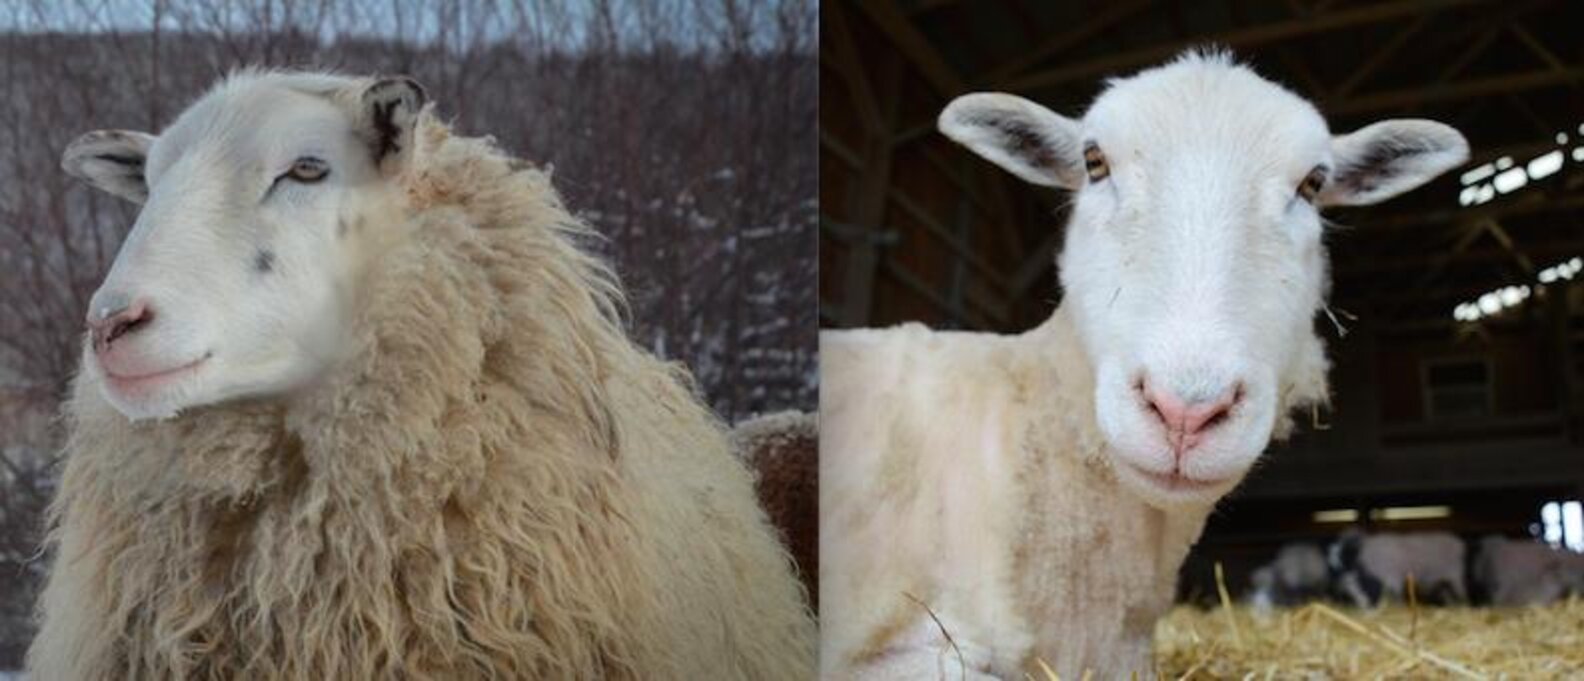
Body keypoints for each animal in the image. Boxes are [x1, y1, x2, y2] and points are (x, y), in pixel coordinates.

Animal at [1327, 529, 1467, 607]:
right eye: (1336, 571)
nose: (1363, 605)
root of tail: (1458, 543)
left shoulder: (1391, 580)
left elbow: (1395, 596)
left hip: (1455, 575)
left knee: (1459, 591)